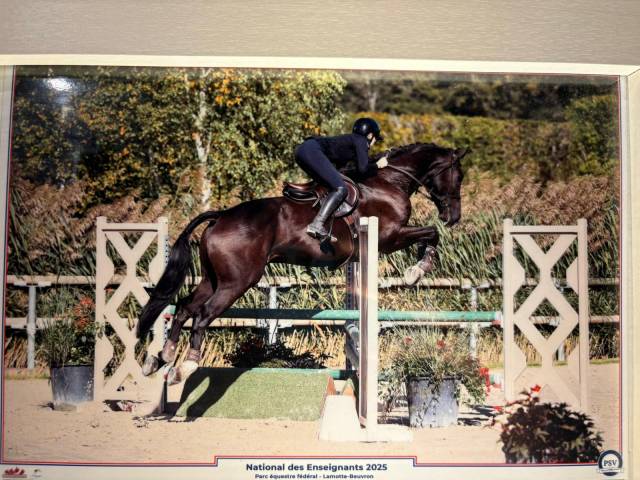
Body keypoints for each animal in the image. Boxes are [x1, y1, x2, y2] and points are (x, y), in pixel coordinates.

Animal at [136, 142, 467, 384]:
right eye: (459, 176)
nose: (454, 217)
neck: (388, 181)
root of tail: (221, 215)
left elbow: (429, 234)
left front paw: (418, 267)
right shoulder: (389, 237)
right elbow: (431, 233)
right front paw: (416, 271)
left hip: (213, 278)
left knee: (184, 307)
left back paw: (162, 357)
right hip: (237, 282)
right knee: (203, 315)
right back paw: (186, 366)